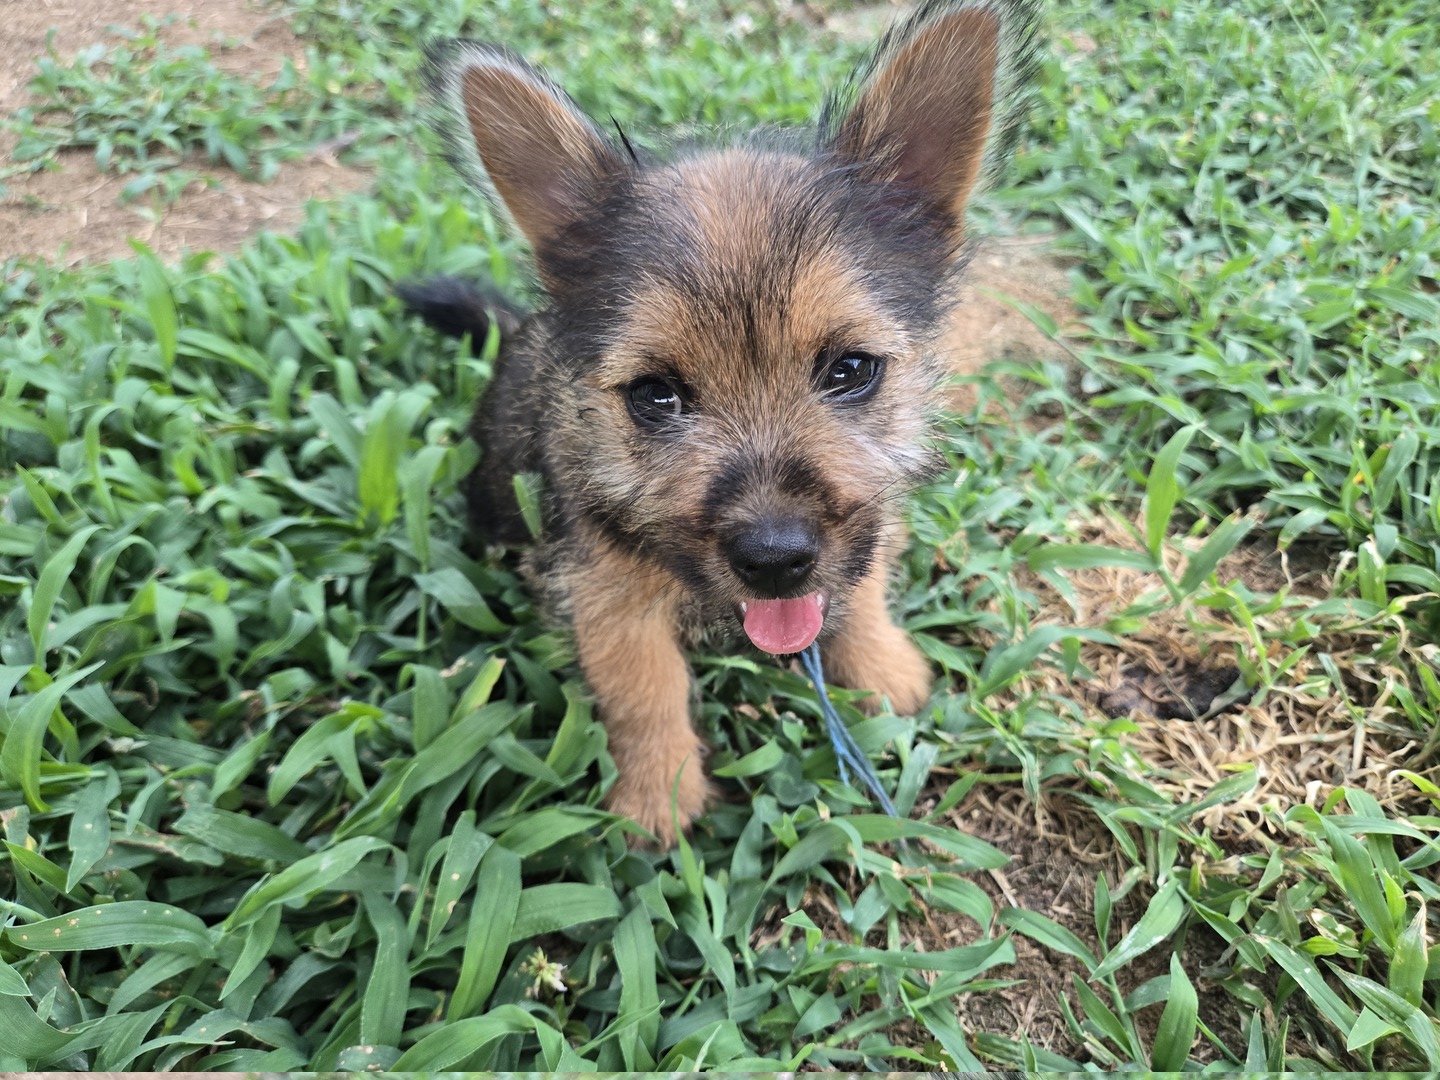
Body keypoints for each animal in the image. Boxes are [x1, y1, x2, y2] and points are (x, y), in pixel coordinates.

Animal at [399, 0, 1040, 845]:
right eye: (655, 395)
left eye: (851, 370)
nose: (775, 561)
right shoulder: (608, 598)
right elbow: (644, 693)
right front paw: (656, 799)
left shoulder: (863, 531)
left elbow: (865, 589)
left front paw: (886, 671)